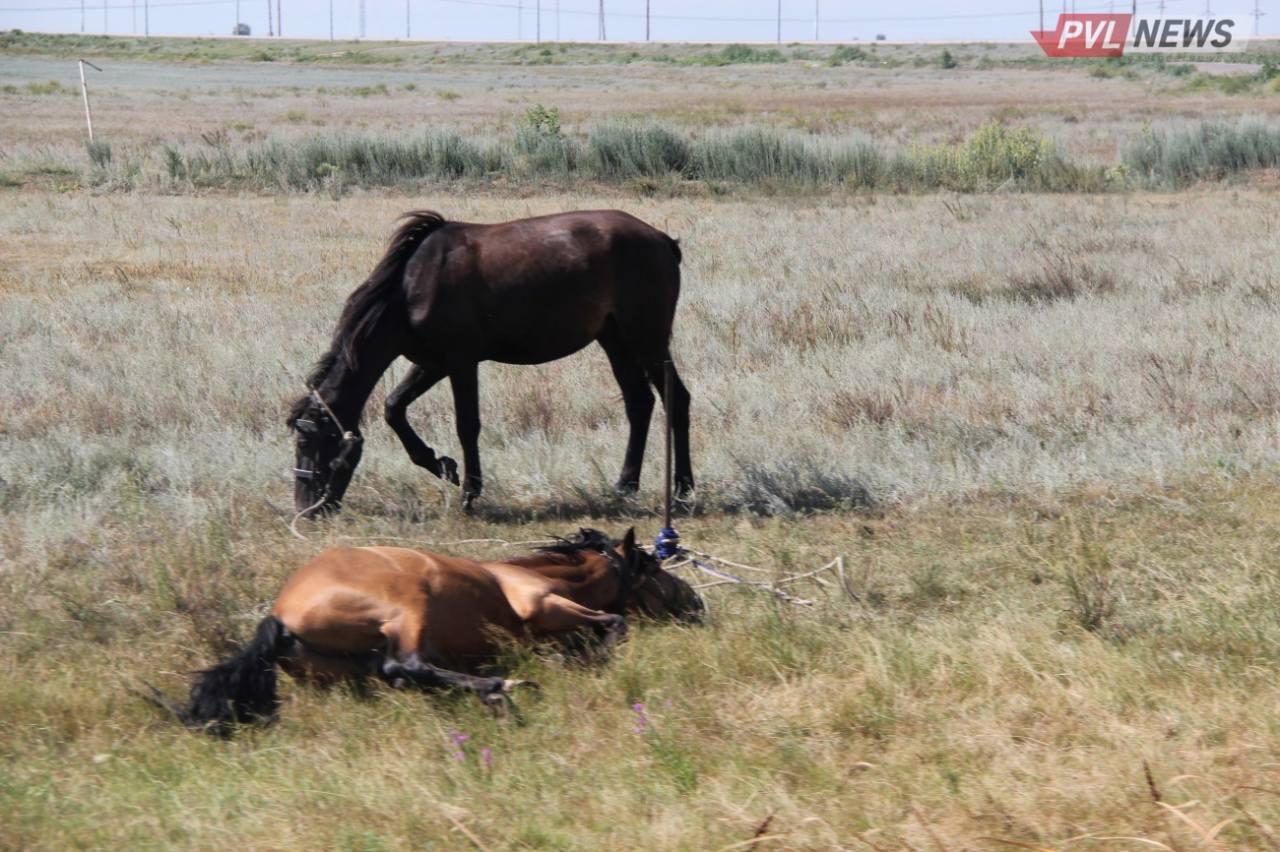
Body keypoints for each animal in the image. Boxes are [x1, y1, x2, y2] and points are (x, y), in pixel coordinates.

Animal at [160, 524, 706, 731]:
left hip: (352, 669)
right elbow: (615, 621)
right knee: (405, 665)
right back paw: (499, 689)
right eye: (653, 568)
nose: (697, 604)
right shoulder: (541, 607)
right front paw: (588, 658)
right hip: (410, 606)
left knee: (399, 675)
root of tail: (280, 617)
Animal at [286, 208, 696, 514]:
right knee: (639, 403)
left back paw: (683, 489)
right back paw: (625, 485)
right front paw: (441, 465)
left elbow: (467, 425)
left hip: (647, 338)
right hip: (615, 340)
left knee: (677, 400)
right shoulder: (431, 363)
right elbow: (393, 408)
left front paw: (469, 491)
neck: (410, 289)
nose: (307, 510)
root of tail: (661, 239)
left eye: (306, 442)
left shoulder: (461, 363)